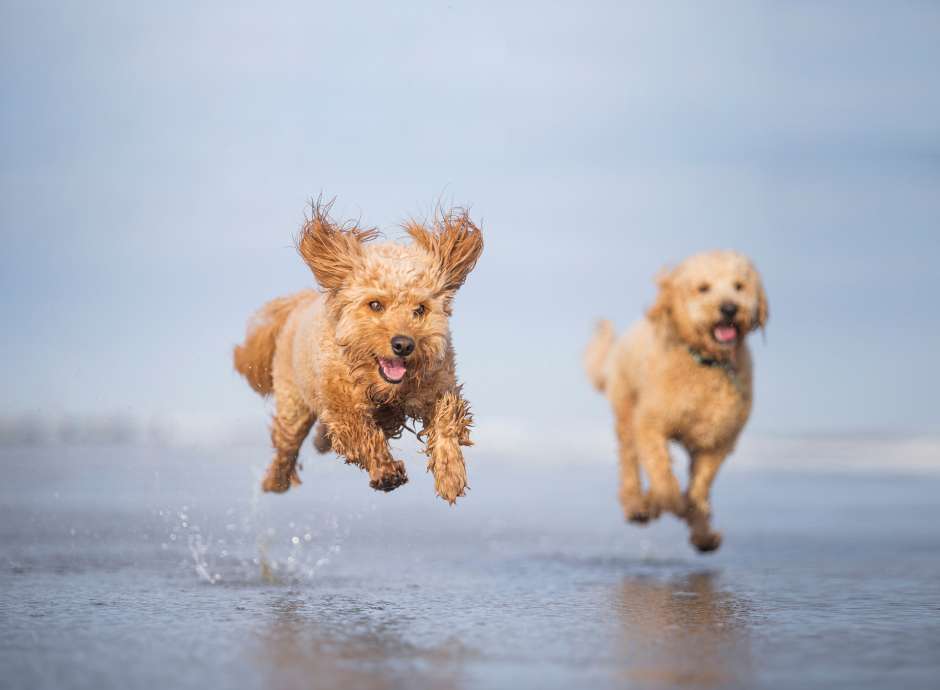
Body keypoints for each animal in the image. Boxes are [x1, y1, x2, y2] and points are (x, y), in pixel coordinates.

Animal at [235, 202, 484, 502]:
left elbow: (447, 419)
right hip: (293, 403)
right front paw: (386, 471)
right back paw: (276, 480)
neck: (386, 388)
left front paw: (450, 473)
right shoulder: (342, 404)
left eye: (420, 309)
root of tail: (301, 302)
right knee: (287, 446)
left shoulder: (438, 384)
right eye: (375, 305)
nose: (403, 345)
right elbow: (362, 434)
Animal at [584, 250, 768, 552]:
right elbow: (663, 479)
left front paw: (700, 527)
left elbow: (700, 486)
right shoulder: (651, 425)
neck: (706, 362)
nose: (729, 308)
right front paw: (662, 502)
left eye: (739, 286)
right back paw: (637, 504)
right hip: (626, 409)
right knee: (629, 460)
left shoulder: (717, 442)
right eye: (703, 288)